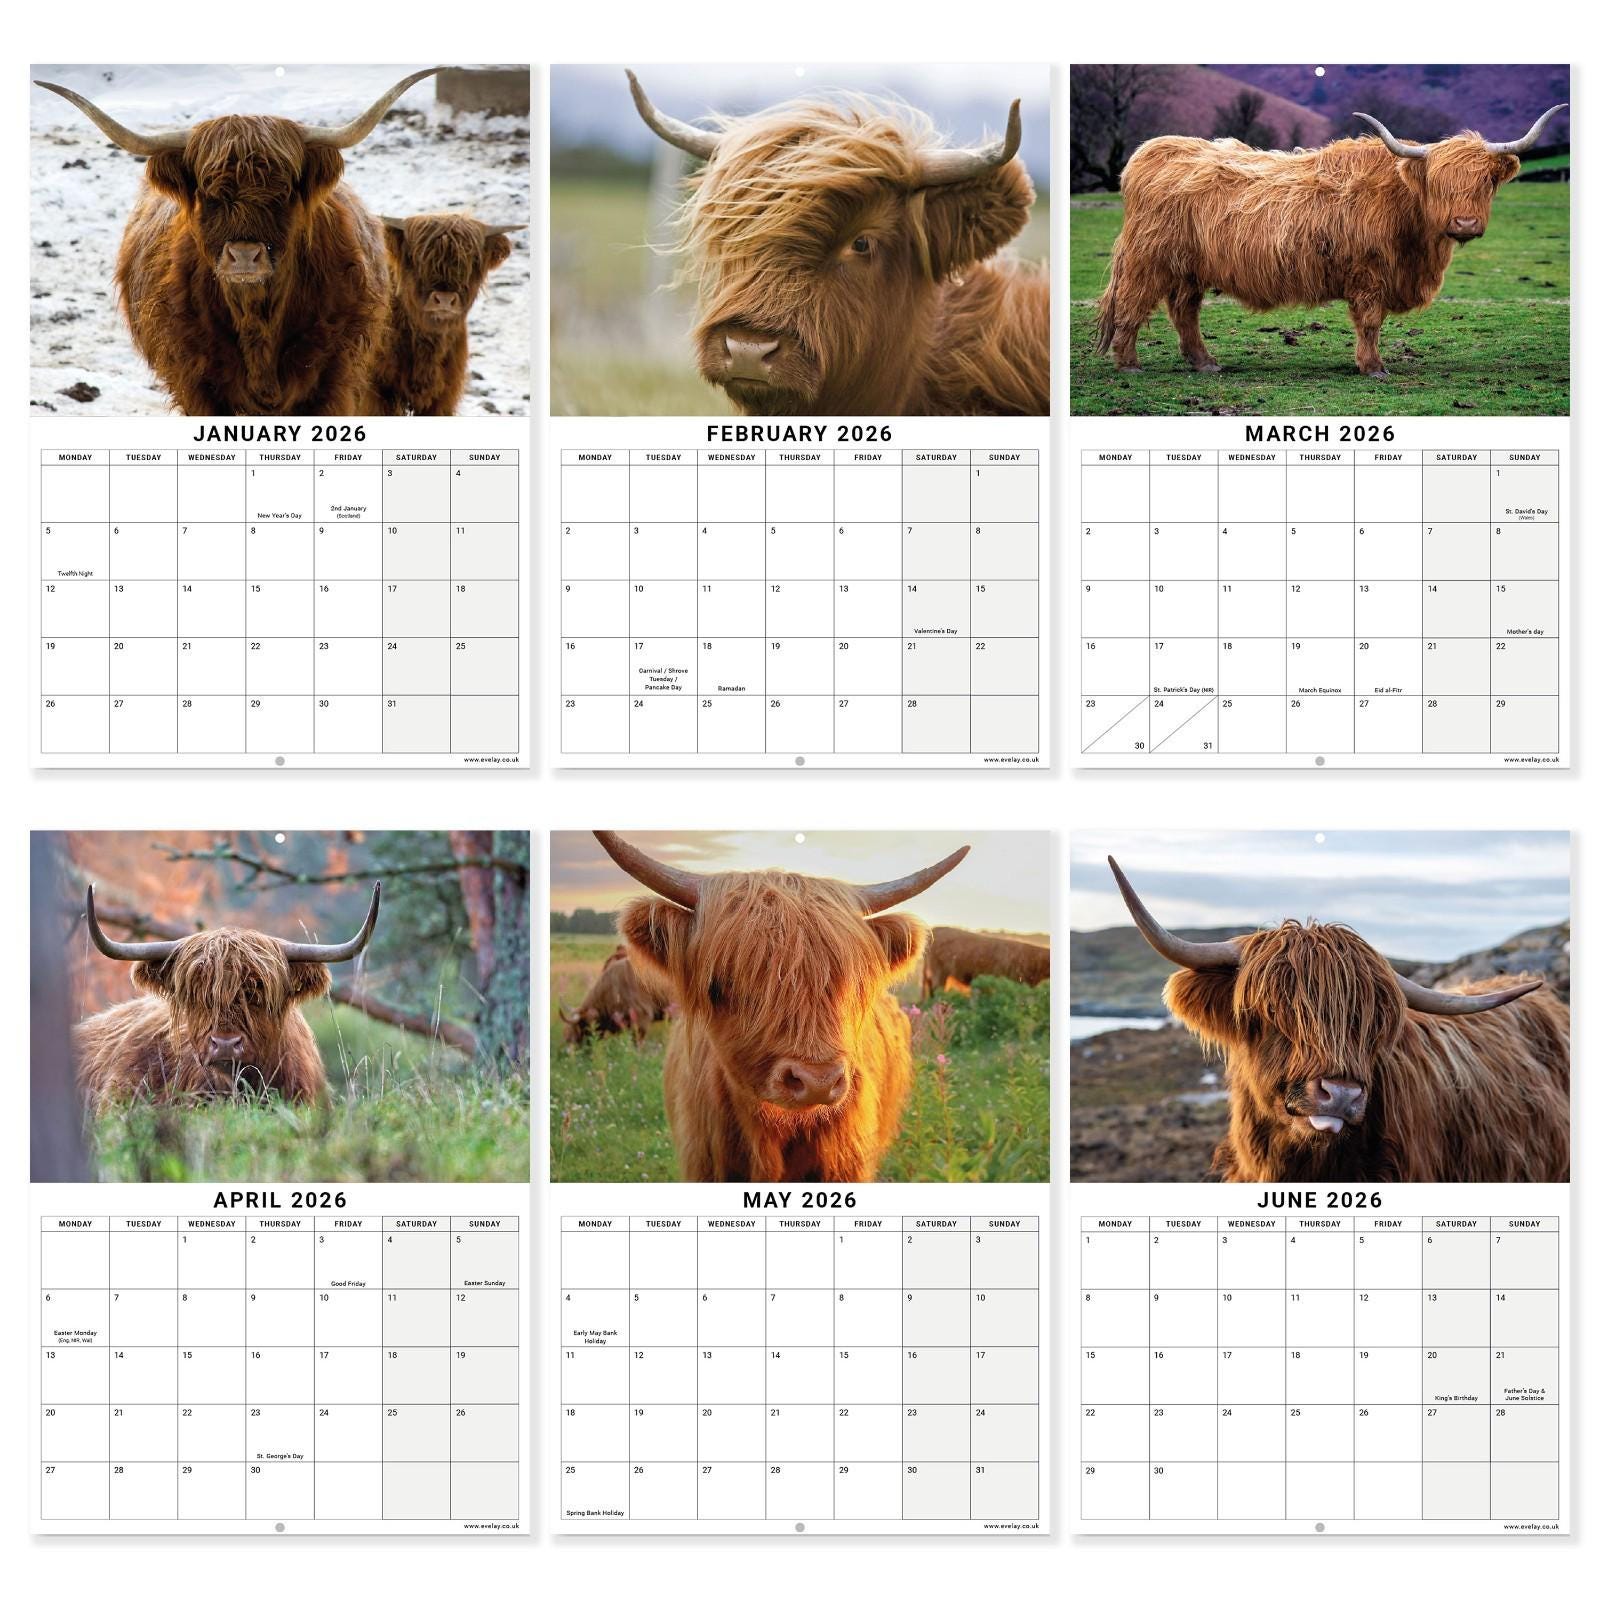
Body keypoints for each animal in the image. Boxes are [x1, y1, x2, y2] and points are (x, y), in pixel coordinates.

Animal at [34, 70, 440, 415]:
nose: (245, 256)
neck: (257, 318)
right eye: (208, 192)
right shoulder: (198, 384)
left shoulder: (329, 380)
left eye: (284, 192)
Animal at [1096, 104, 1566, 377]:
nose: (1465, 223)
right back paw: (1129, 364)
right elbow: (1371, 323)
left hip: (1190, 268)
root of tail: (1152, 151)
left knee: (1184, 311)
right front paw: (1373, 368)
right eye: (1437, 181)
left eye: (1486, 181)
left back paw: (1205, 363)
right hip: (1148, 259)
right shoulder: (1369, 275)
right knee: (1134, 306)